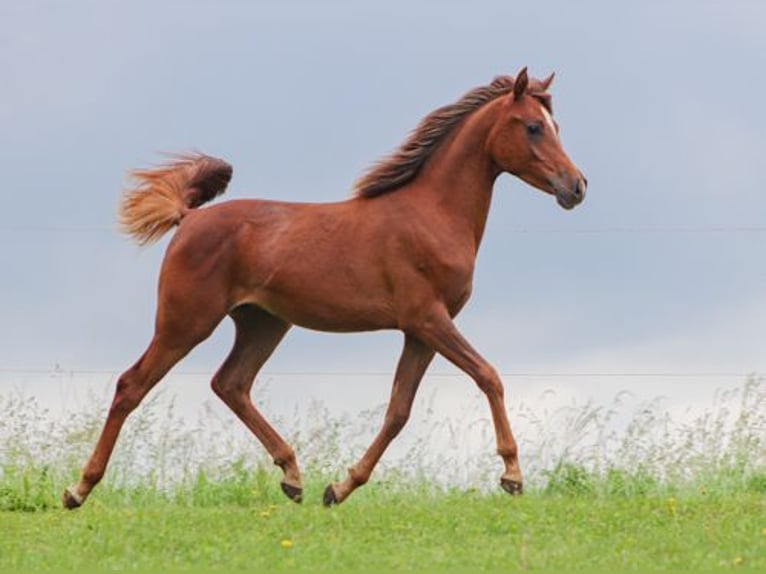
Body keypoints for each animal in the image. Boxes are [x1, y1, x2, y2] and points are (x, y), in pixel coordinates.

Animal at [63, 67, 588, 508]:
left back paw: (293, 477)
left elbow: (398, 411)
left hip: (263, 324)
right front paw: (512, 475)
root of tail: (188, 218)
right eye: (533, 127)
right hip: (185, 322)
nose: (577, 186)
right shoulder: (427, 318)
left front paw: (339, 487)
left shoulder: (420, 331)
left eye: (556, 125)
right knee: (132, 385)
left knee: (231, 383)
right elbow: (488, 376)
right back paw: (78, 490)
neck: (431, 213)